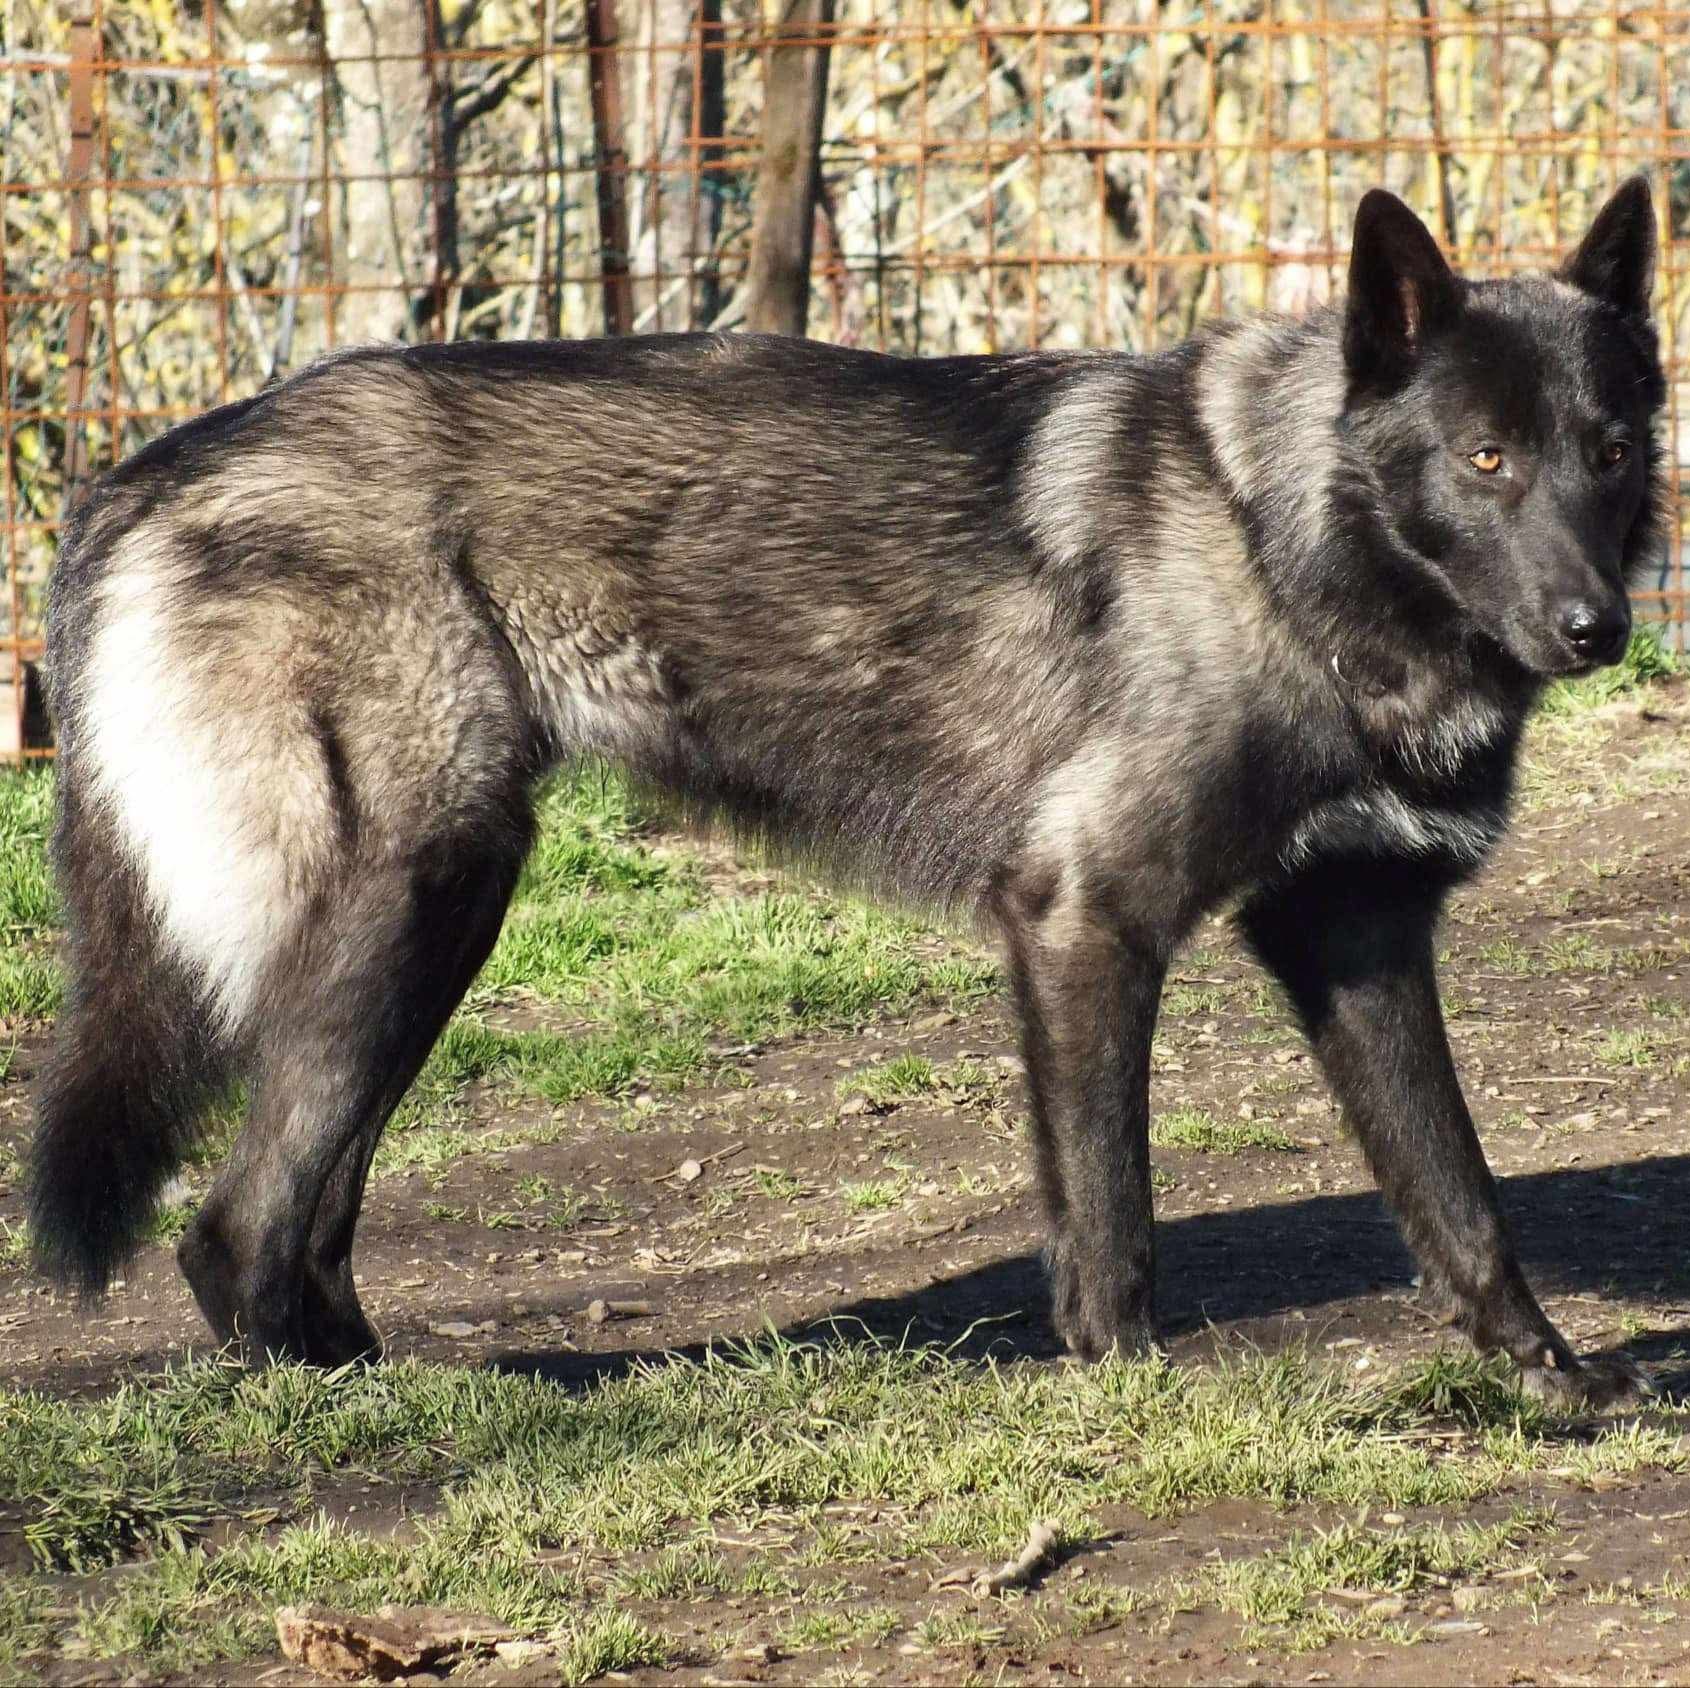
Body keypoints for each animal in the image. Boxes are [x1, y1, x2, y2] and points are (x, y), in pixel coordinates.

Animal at [29, 179, 1665, 1405]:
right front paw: (1131, 1388)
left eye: (1608, 451)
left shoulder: (1358, 940)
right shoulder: (1084, 920)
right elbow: (1111, 1213)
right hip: (415, 900)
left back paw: (422, 1389)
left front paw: (1549, 1382)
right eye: (1483, 457)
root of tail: (143, 471)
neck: (1286, 547)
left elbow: (1460, 1193)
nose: (1596, 627)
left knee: (308, 1219)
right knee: (236, 1228)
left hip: (437, 923)